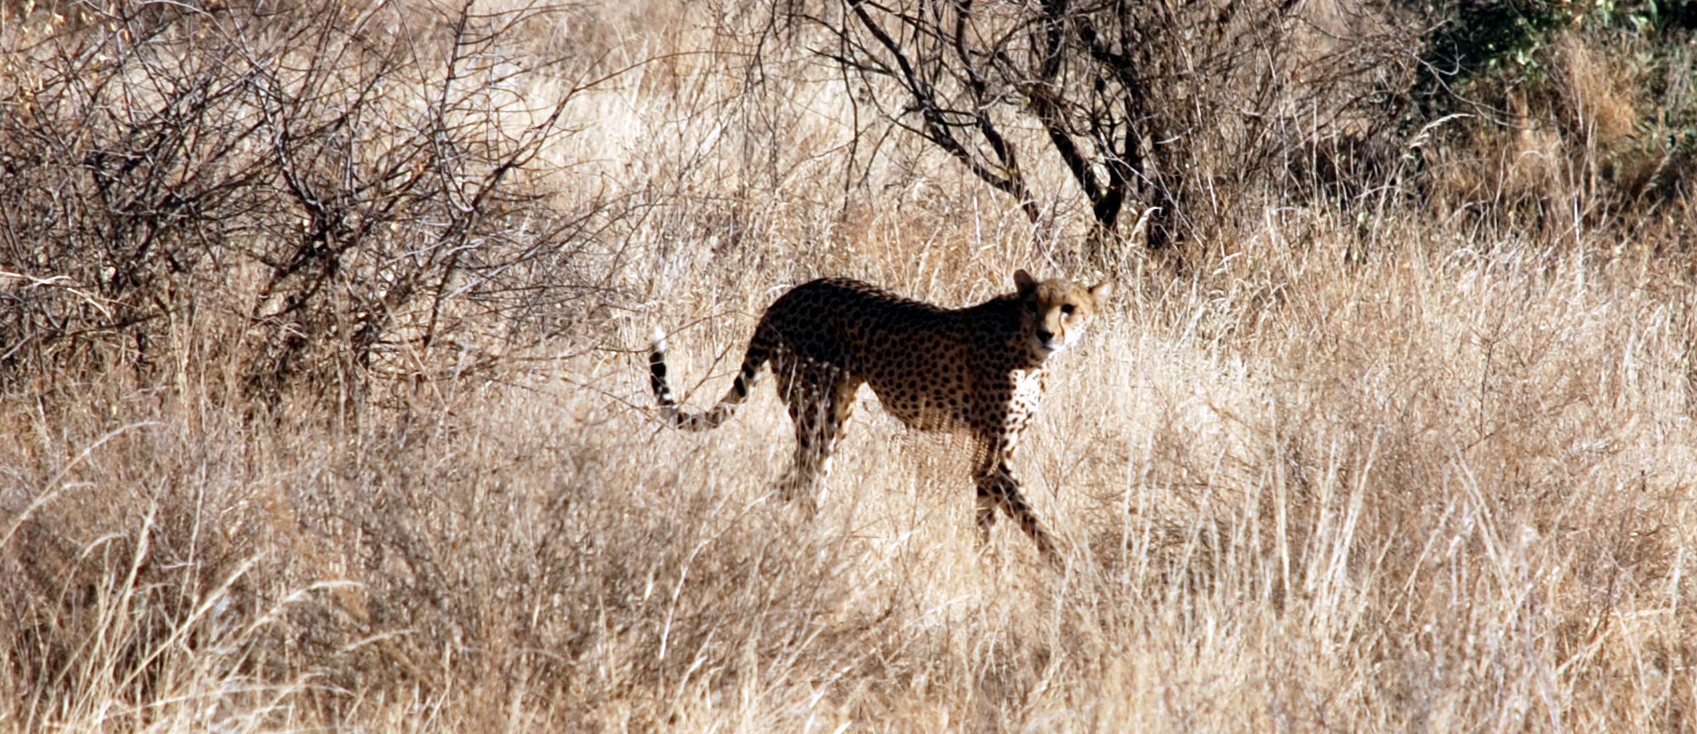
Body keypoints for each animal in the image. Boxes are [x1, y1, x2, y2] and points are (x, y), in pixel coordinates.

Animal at [647, 269, 1113, 563]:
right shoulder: (992, 454)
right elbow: (1031, 517)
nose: (1047, 333)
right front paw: (1070, 568)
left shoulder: (999, 451)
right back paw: (812, 543)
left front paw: (988, 564)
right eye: (1033, 305)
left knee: (793, 477)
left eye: (1068, 308)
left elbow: (990, 517)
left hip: (836, 412)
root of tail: (792, 293)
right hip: (817, 407)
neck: (1026, 348)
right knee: (806, 476)